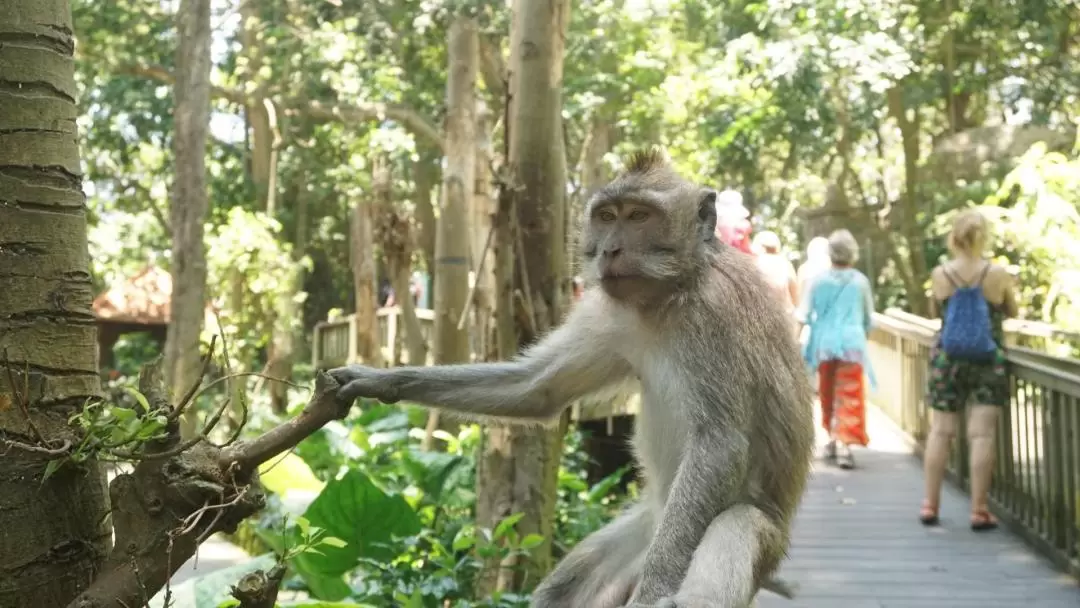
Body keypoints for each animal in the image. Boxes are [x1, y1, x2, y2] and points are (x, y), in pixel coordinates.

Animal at [328, 149, 812, 608]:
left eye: (640, 216)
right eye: (607, 217)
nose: (610, 250)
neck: (670, 295)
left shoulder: (715, 319)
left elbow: (720, 445)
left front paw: (653, 590)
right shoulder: (612, 317)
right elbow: (538, 389)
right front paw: (377, 380)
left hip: (742, 540)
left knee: (739, 522)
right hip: (642, 532)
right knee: (563, 590)